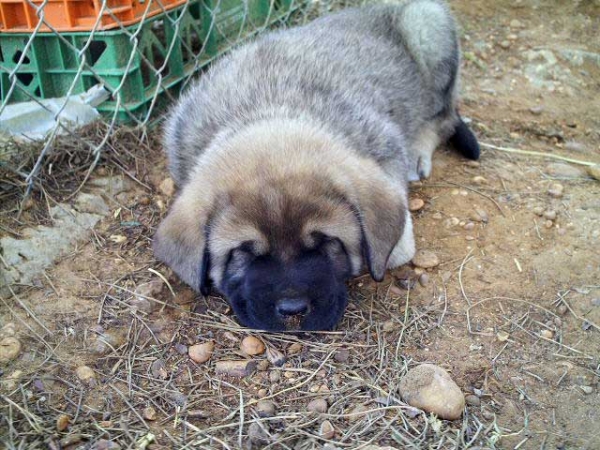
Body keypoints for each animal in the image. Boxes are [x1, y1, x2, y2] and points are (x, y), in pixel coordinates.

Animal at [154, 0, 478, 330]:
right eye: (243, 252)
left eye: (327, 242)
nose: (292, 310)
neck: (270, 107)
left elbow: (397, 247)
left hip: (426, 22)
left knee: (444, 116)